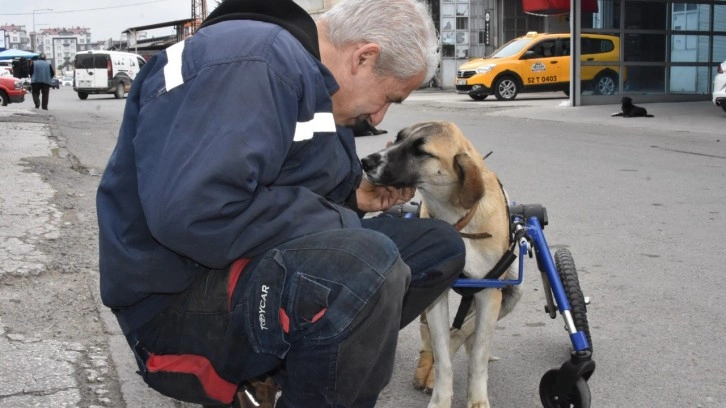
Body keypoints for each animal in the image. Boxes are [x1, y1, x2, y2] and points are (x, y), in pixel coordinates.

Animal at [364, 121, 524, 408]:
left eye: (421, 151)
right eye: (399, 138)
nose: (365, 161)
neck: (457, 218)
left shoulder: (489, 293)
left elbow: (478, 353)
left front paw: (477, 399)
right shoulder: (437, 297)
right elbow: (442, 356)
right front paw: (440, 398)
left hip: (512, 293)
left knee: (467, 330)